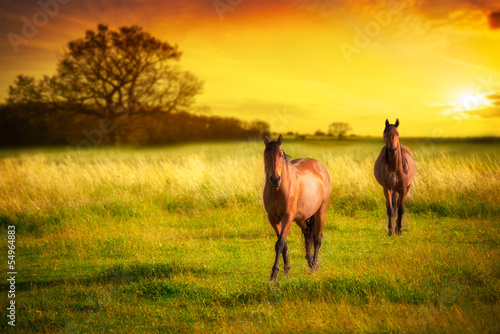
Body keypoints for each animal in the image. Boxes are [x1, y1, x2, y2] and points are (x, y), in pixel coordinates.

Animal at [264, 134, 330, 280]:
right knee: (307, 233)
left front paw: (274, 275)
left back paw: (314, 266)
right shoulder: (273, 218)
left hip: (320, 212)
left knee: (317, 238)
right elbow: (283, 243)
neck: (277, 190)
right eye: (265, 155)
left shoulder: (287, 217)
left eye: (281, 155)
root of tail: (320, 166)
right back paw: (310, 263)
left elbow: (280, 244)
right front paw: (286, 269)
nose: (275, 180)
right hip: (300, 217)